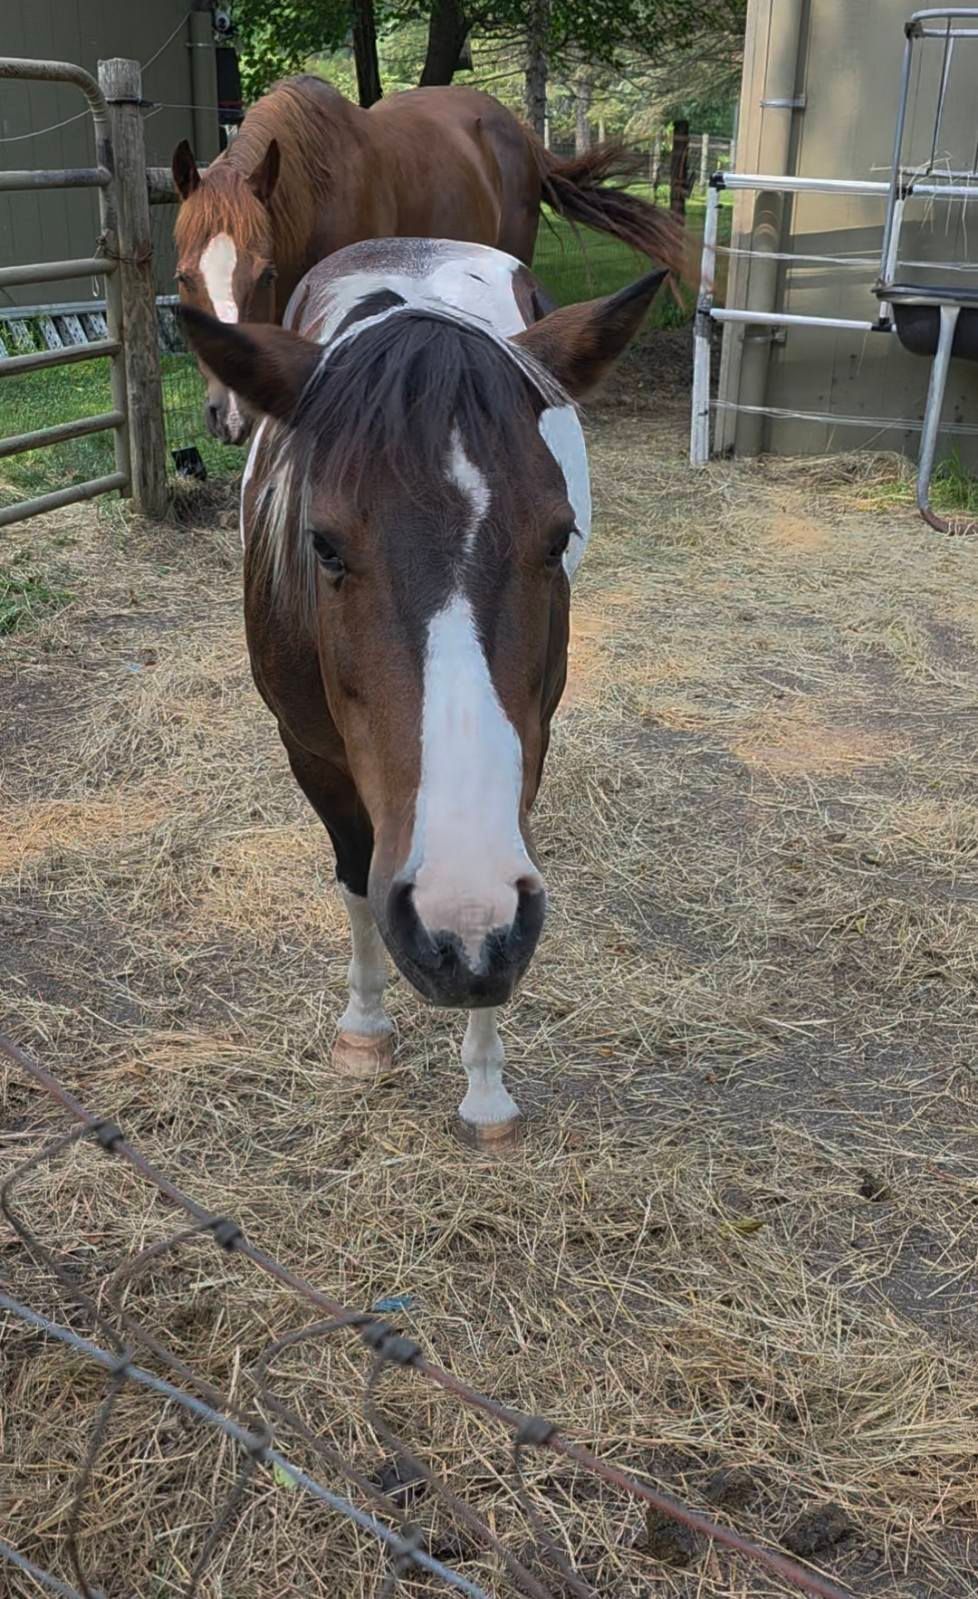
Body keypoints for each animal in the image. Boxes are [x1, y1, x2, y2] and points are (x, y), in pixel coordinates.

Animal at [180, 237, 663, 1150]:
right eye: (324, 545)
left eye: (559, 539)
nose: (459, 928)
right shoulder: (309, 751)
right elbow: (355, 877)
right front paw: (364, 1029)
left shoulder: (530, 739)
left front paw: (485, 1088)